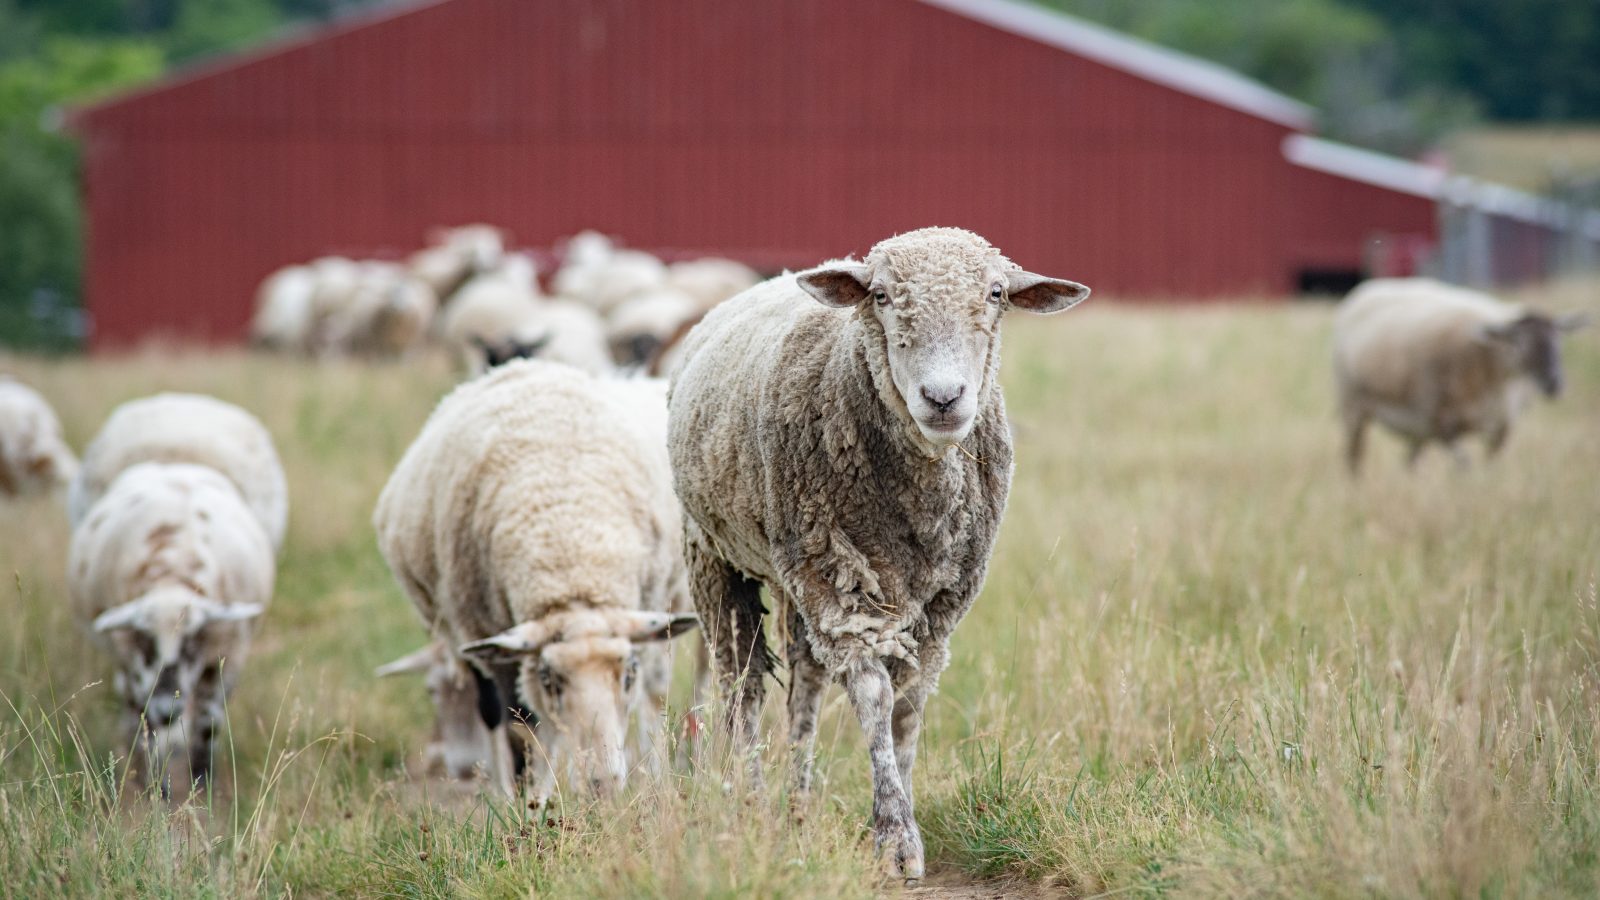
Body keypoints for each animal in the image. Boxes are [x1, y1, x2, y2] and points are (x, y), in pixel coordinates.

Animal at [70, 461, 273, 795]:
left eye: (193, 640)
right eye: (145, 640)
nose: (167, 708)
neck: (171, 573)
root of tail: (172, 465)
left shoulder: (224, 659)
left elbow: (208, 722)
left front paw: (203, 784)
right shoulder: (134, 662)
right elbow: (147, 724)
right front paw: (156, 787)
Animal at [666, 227, 1089, 881]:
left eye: (996, 293)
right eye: (883, 295)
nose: (943, 397)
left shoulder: (938, 604)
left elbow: (908, 709)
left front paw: (903, 813)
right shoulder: (843, 591)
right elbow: (874, 697)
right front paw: (894, 838)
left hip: (797, 574)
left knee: (806, 685)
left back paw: (798, 806)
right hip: (716, 554)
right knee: (742, 684)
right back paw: (752, 808)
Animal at [1333, 278, 1588, 472]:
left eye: (1558, 341)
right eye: (1518, 343)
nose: (1554, 383)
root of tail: (1366, 288)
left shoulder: (1502, 426)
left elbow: (1489, 465)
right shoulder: (1441, 423)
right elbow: (1465, 465)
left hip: (1417, 427)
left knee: (1410, 462)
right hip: (1354, 407)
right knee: (1354, 459)